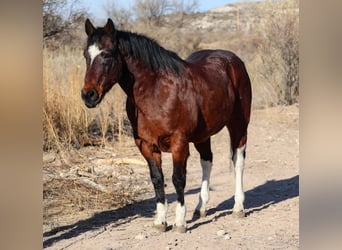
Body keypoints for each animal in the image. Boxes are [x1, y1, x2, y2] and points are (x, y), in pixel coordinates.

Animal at [80, 18, 251, 233]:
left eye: (107, 55)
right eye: (86, 55)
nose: (88, 95)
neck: (156, 92)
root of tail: (234, 61)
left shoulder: (179, 143)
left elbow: (178, 179)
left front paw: (179, 222)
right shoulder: (146, 145)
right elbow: (157, 179)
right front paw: (160, 221)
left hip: (239, 125)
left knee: (238, 161)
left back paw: (238, 207)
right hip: (203, 135)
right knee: (207, 161)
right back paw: (201, 208)